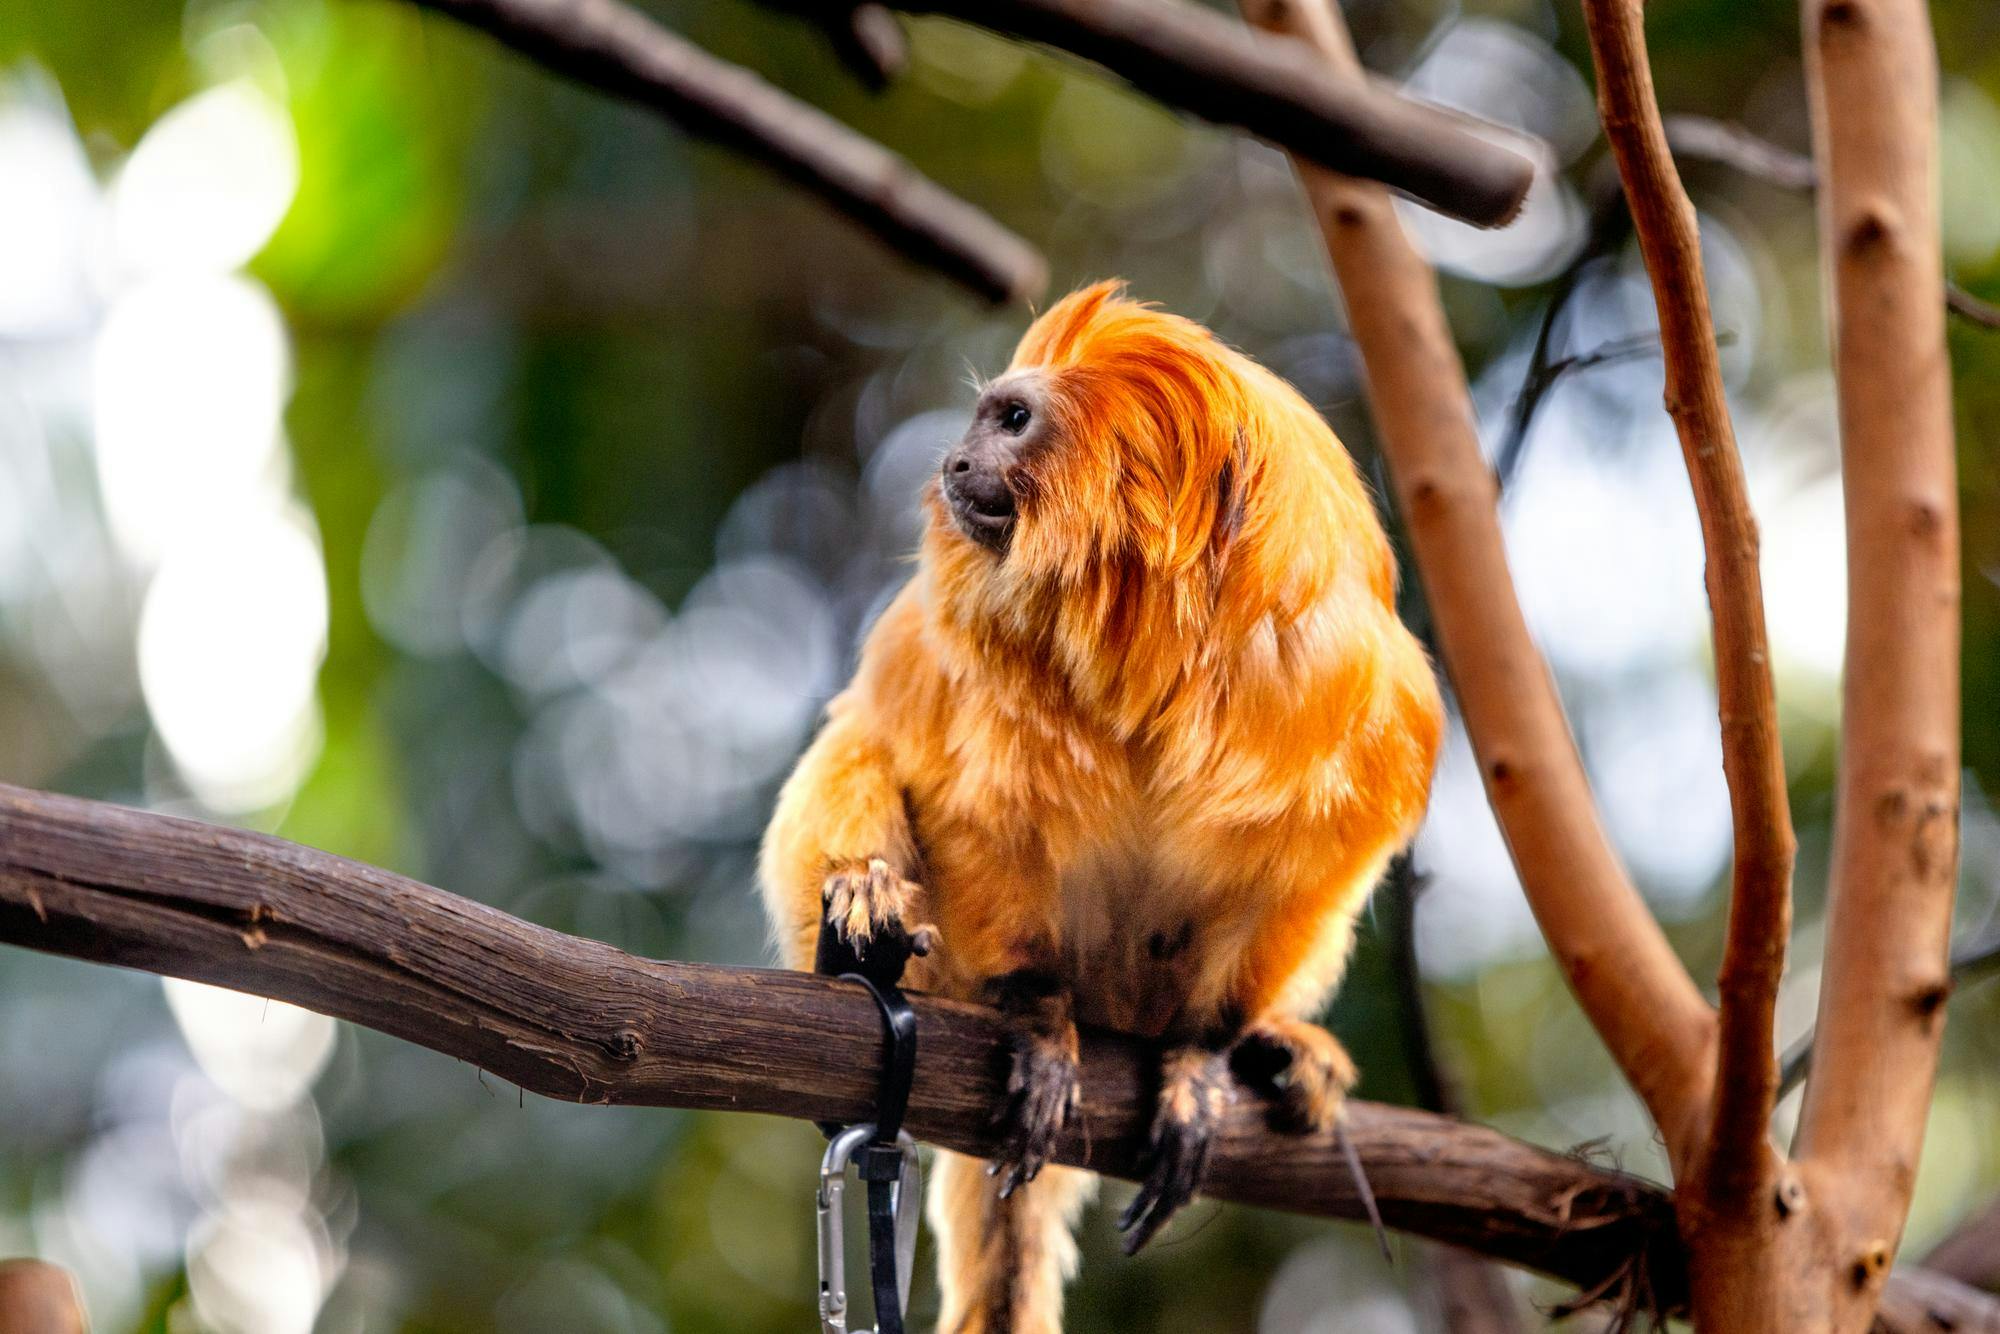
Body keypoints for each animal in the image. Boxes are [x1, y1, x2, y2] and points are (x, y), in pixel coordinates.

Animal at [760, 282, 1442, 1333]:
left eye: (1010, 421)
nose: (954, 461)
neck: (1157, 641)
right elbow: (970, 813)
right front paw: (1040, 1021)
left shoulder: (1357, 706)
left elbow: (1300, 884)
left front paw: (1201, 1060)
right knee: (857, 752)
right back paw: (861, 929)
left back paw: (1279, 1052)